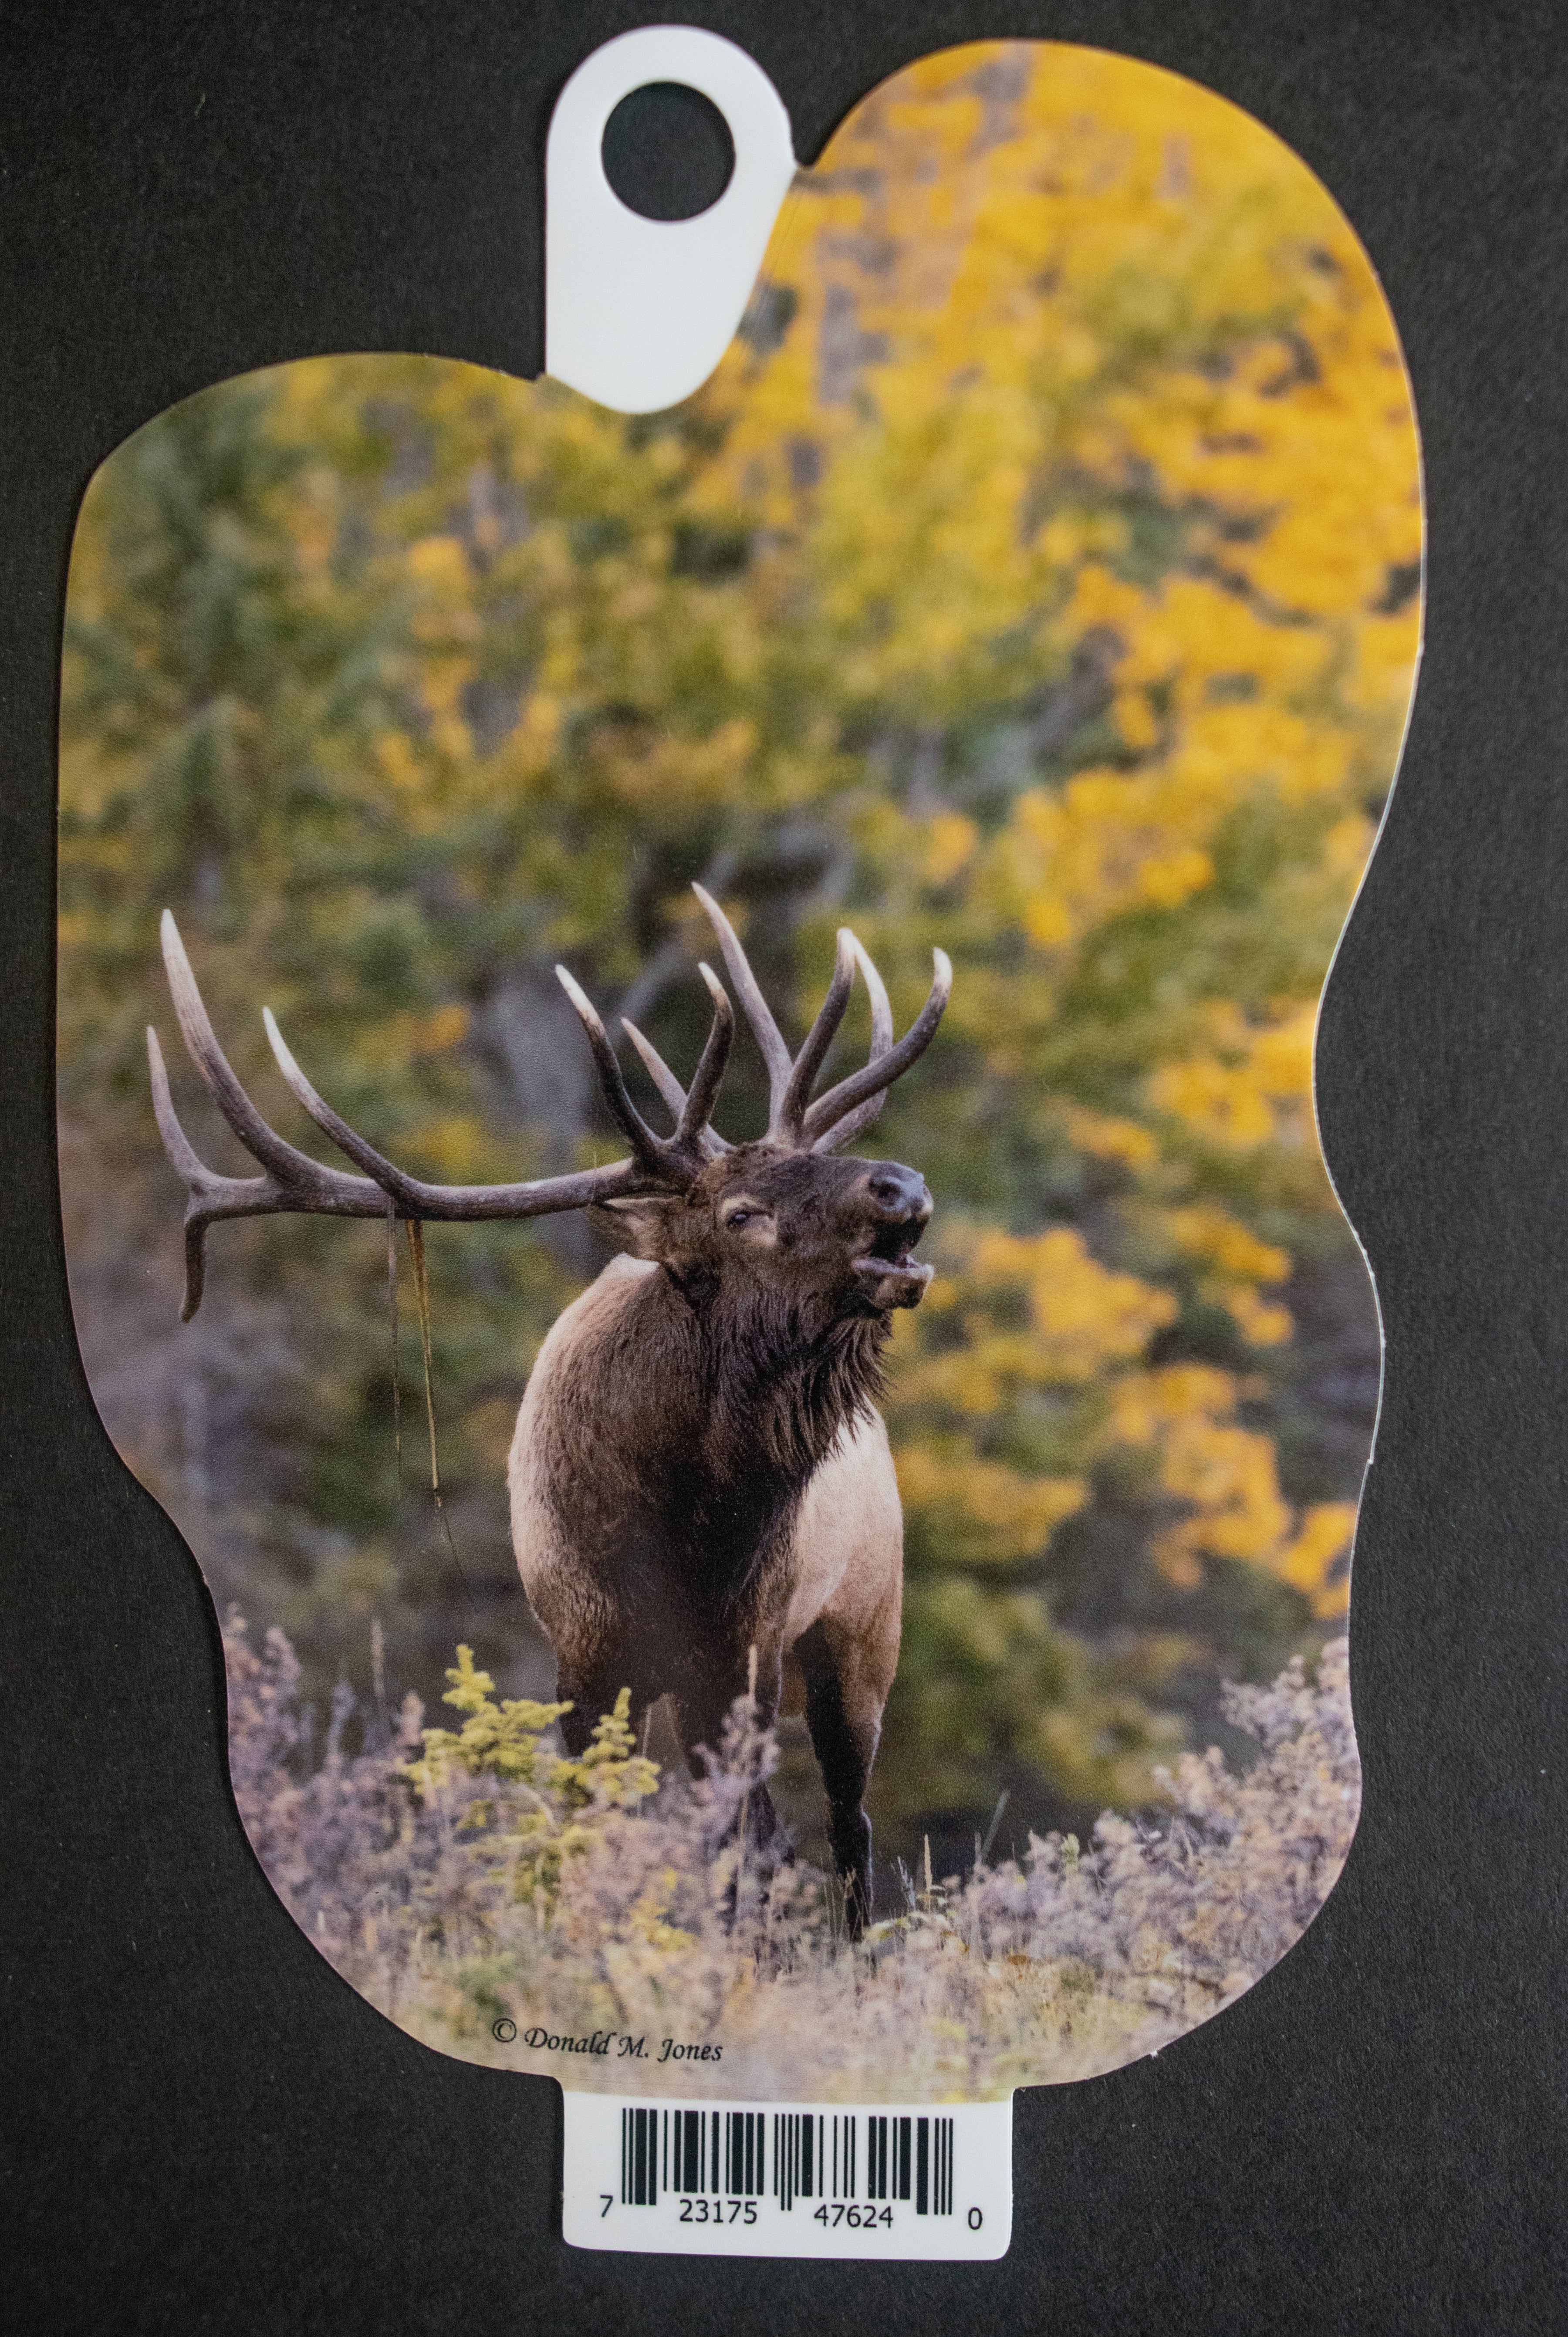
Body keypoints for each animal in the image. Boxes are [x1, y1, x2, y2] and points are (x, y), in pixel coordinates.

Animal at [145, 884, 950, 1927]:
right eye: (739, 1214)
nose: (903, 1185)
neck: (679, 1530)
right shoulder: (581, 1649)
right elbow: (590, 1824)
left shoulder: (743, 1648)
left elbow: (748, 1844)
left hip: (861, 1621)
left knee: (846, 1827)